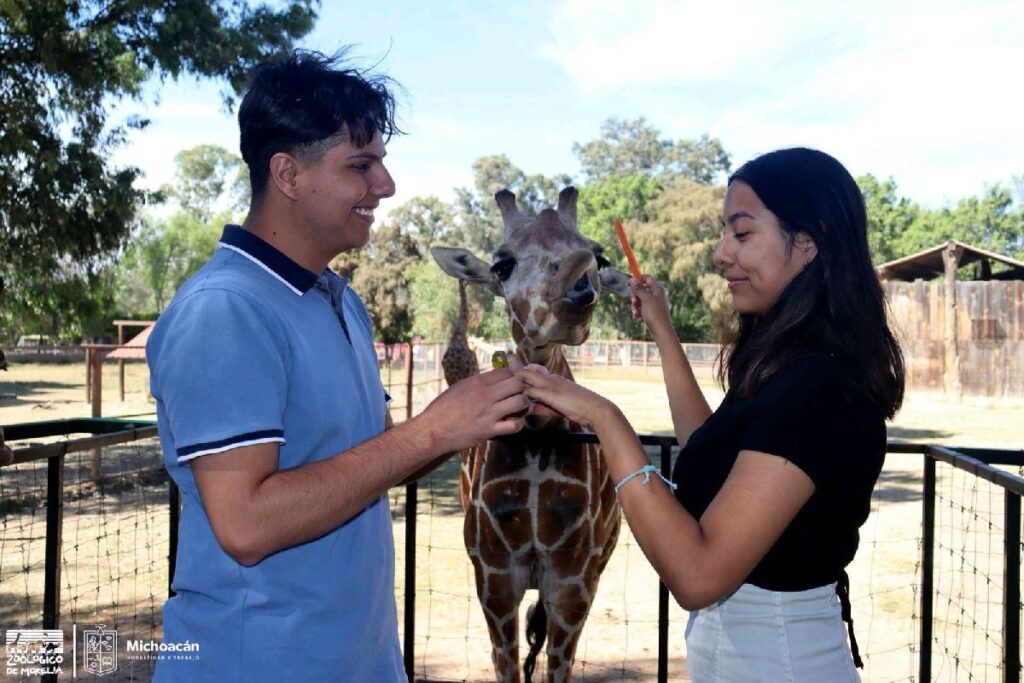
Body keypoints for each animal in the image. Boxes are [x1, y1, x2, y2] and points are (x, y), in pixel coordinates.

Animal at [430, 184, 630, 679]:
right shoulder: (495, 579)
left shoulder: (574, 581)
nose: (580, 285)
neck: (539, 434)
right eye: (502, 265)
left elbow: (557, 667)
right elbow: (506, 664)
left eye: (599, 256)